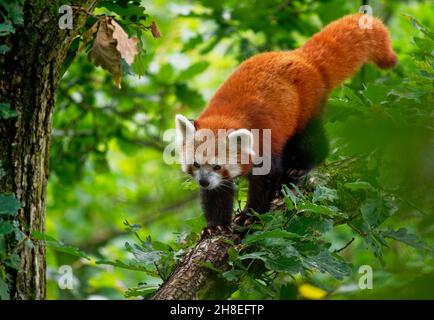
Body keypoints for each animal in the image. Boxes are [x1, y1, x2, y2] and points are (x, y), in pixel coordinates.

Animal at [175, 13, 396, 236]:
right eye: (196, 164)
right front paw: (216, 226)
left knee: (310, 138)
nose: (203, 181)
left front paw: (250, 216)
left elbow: (265, 180)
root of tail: (300, 56)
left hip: (306, 106)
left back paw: (299, 166)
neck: (226, 116)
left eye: (217, 166)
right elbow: (216, 195)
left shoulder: (264, 141)